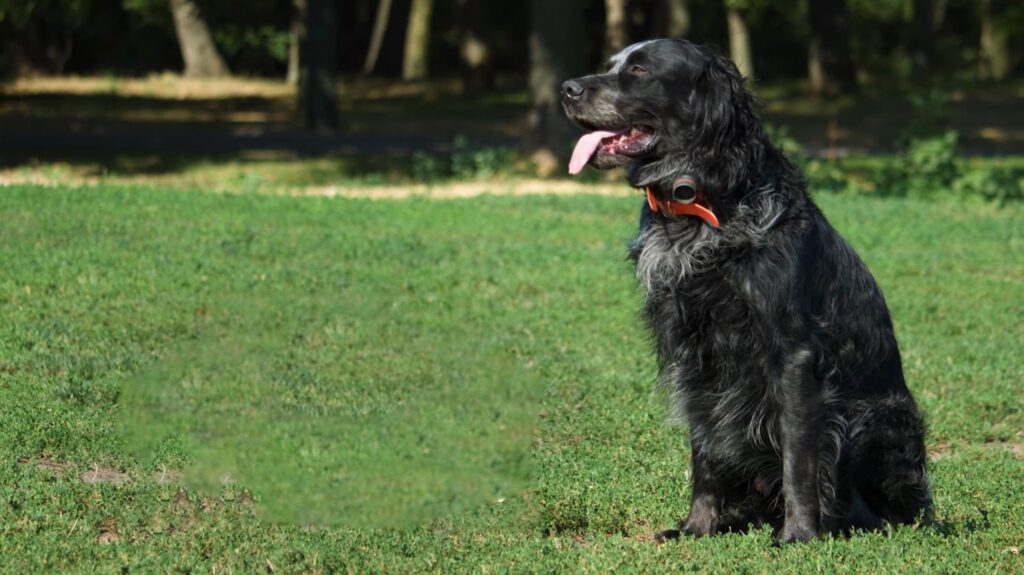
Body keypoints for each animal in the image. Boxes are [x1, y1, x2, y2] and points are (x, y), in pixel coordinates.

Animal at [565, 40, 933, 540]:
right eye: (611, 66)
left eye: (639, 71)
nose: (567, 89)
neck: (700, 209)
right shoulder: (696, 358)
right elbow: (704, 451)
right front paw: (696, 526)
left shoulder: (794, 356)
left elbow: (799, 457)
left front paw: (799, 534)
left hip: (876, 416)